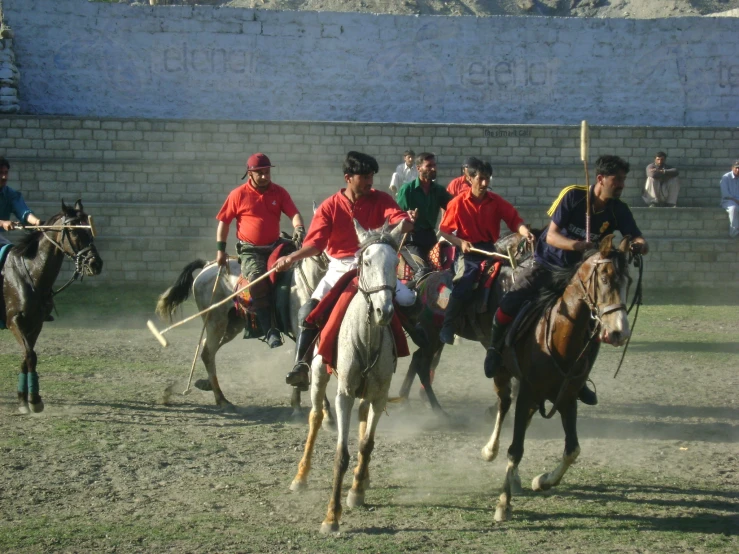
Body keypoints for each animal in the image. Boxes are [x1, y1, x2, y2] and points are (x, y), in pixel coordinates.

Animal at [4, 201, 103, 412]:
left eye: (89, 231)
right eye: (73, 231)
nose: (96, 264)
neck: (30, 273)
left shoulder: (35, 323)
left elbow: (27, 357)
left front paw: (24, 399)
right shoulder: (14, 321)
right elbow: (30, 355)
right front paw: (34, 400)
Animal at [156, 248, 330, 416]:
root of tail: (208, 266)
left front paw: (323, 406)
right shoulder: (301, 332)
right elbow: (304, 362)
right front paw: (300, 406)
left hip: (231, 326)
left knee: (208, 350)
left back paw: (206, 385)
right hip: (215, 322)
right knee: (208, 353)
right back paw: (223, 401)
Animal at [290, 218, 404, 532]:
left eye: (395, 262)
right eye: (366, 261)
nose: (383, 310)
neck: (367, 336)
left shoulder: (379, 396)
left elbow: (367, 445)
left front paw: (356, 491)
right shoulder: (344, 395)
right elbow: (341, 454)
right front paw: (332, 516)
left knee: (363, 419)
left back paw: (361, 480)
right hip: (319, 374)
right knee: (315, 416)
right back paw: (301, 476)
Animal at [486, 235, 636, 520]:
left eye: (629, 281)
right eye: (604, 278)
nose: (619, 332)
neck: (559, 337)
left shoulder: (567, 397)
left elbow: (572, 450)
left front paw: (542, 480)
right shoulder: (528, 391)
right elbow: (515, 449)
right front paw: (503, 503)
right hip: (503, 375)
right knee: (503, 406)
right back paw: (490, 450)